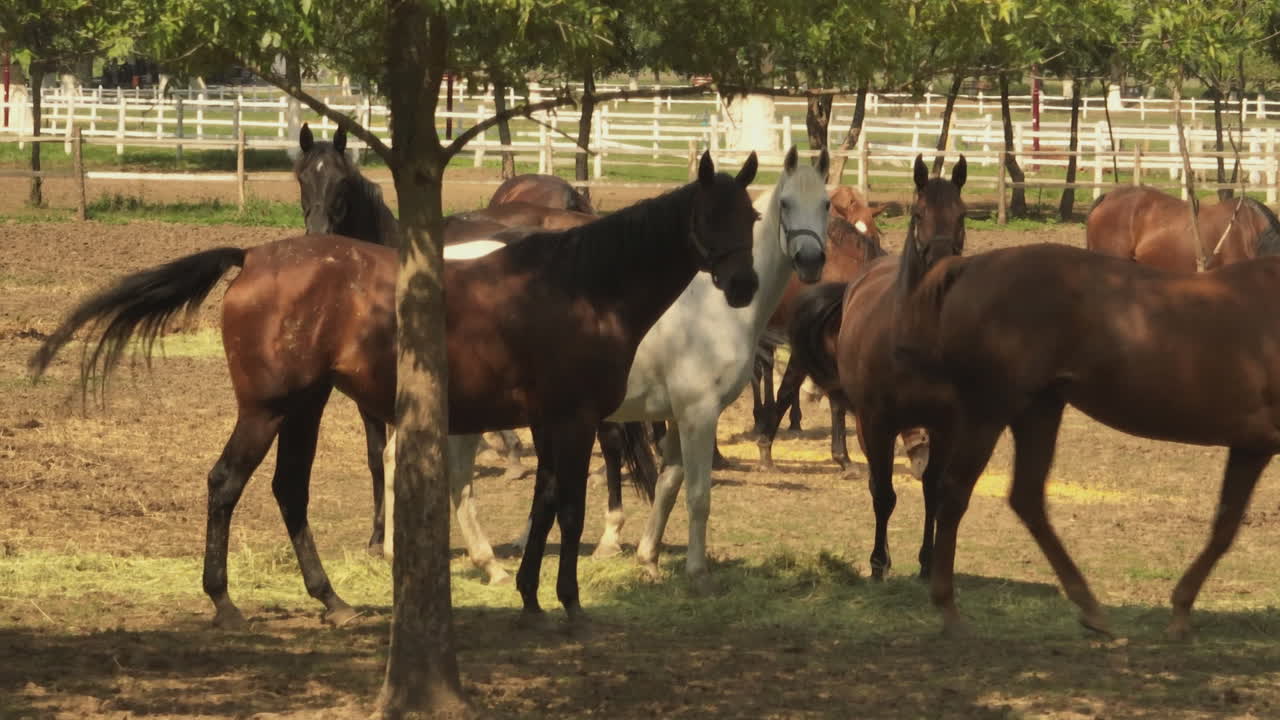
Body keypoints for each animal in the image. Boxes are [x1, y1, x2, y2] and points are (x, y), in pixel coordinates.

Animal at [30, 151, 762, 630]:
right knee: (225, 484)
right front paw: (570, 602)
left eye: (751, 215)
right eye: (709, 214)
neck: (581, 284)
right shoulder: (573, 418)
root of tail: (255, 257)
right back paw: (224, 601)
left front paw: (528, 592)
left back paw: (332, 600)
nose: (744, 285)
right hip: (266, 409)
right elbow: (570, 509)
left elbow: (548, 503)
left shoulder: (554, 421)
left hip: (305, 407)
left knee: (288, 491)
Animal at [785, 154, 966, 582]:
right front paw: (878, 562)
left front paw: (927, 561)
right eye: (918, 214)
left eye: (962, 215)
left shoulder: (944, 427)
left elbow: (933, 490)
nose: (943, 266)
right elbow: (883, 494)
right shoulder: (877, 423)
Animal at [897, 241, 1280, 640]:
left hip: (1039, 408)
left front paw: (1181, 610)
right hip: (990, 410)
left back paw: (1090, 608)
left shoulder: (1251, 447)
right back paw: (950, 610)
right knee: (956, 492)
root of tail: (970, 265)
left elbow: (1225, 526)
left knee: (1026, 498)